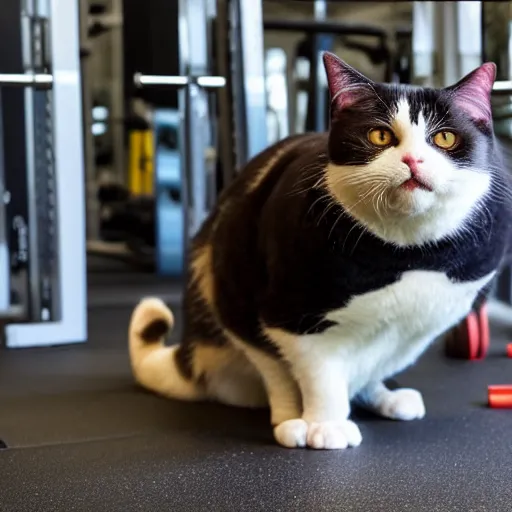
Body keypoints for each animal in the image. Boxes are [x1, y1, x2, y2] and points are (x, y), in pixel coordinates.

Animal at [127, 54, 512, 450]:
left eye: (445, 137)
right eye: (379, 135)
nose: (412, 160)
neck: (408, 254)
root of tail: (192, 351)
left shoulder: (423, 321)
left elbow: (365, 366)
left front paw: (360, 402)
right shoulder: (292, 320)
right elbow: (321, 377)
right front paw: (326, 424)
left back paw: (386, 397)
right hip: (232, 291)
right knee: (275, 375)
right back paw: (290, 421)